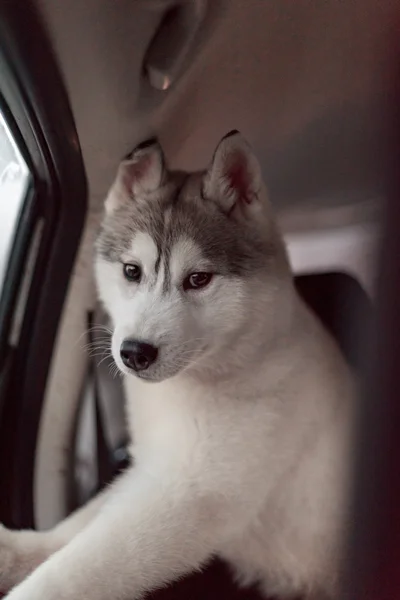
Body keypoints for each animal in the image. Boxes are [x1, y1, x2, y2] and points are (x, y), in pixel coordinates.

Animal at [1, 132, 354, 600]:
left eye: (198, 279)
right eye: (131, 271)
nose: (134, 352)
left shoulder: (188, 494)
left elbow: (74, 571)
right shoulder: (152, 469)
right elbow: (75, 531)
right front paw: (15, 551)